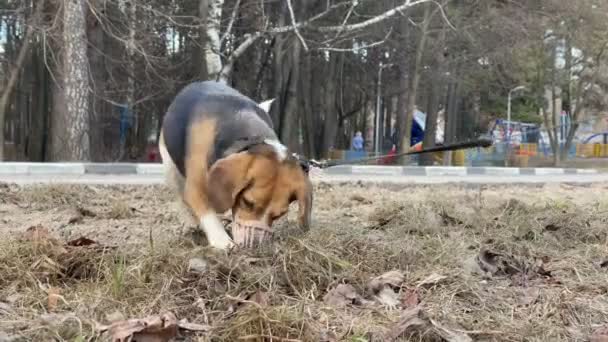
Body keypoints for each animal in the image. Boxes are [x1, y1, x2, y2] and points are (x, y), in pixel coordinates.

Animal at [158, 81, 314, 250]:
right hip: (170, 169)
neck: (251, 138)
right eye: (247, 202)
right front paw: (223, 241)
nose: (253, 245)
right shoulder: (195, 188)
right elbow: (207, 212)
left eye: (279, 215)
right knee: (181, 198)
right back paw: (191, 224)